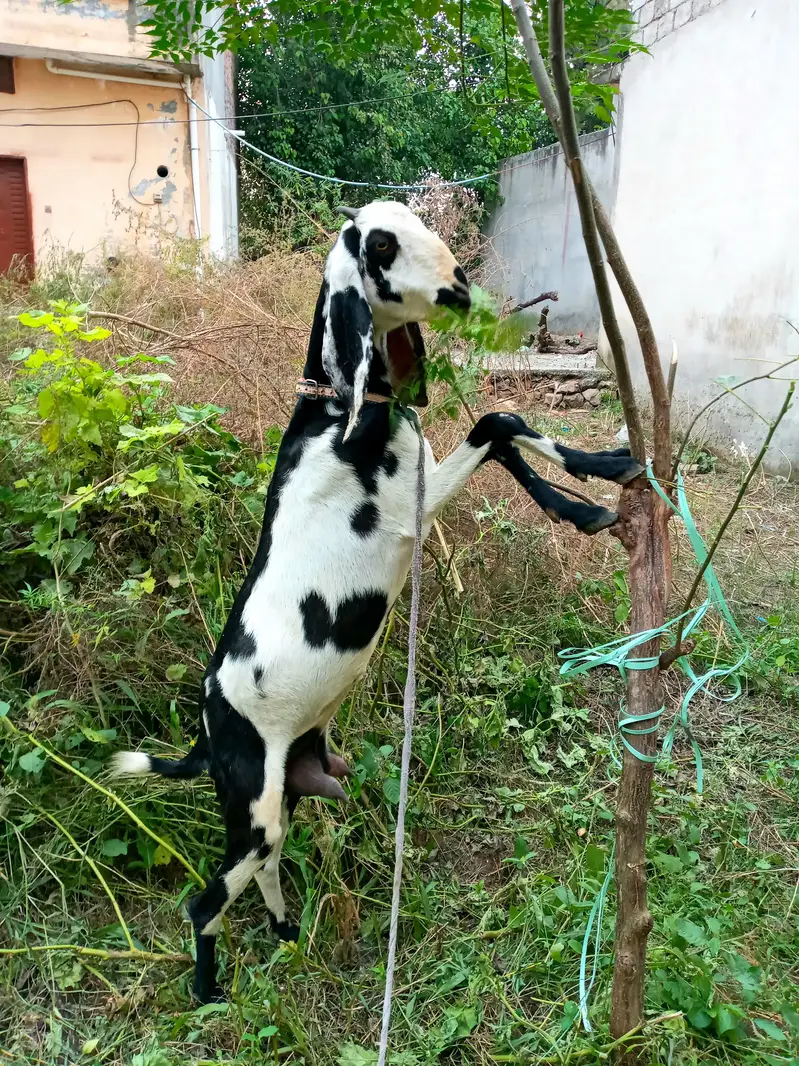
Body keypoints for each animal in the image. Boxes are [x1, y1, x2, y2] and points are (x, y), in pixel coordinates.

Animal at [112, 201, 643, 1003]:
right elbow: (495, 425)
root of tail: (209, 731)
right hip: (253, 808)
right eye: (382, 245)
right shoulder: (408, 518)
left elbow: (505, 428)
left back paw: (285, 931)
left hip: (283, 798)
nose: (461, 285)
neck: (340, 417)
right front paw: (592, 488)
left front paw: (595, 479)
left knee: (265, 868)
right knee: (205, 901)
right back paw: (209, 990)